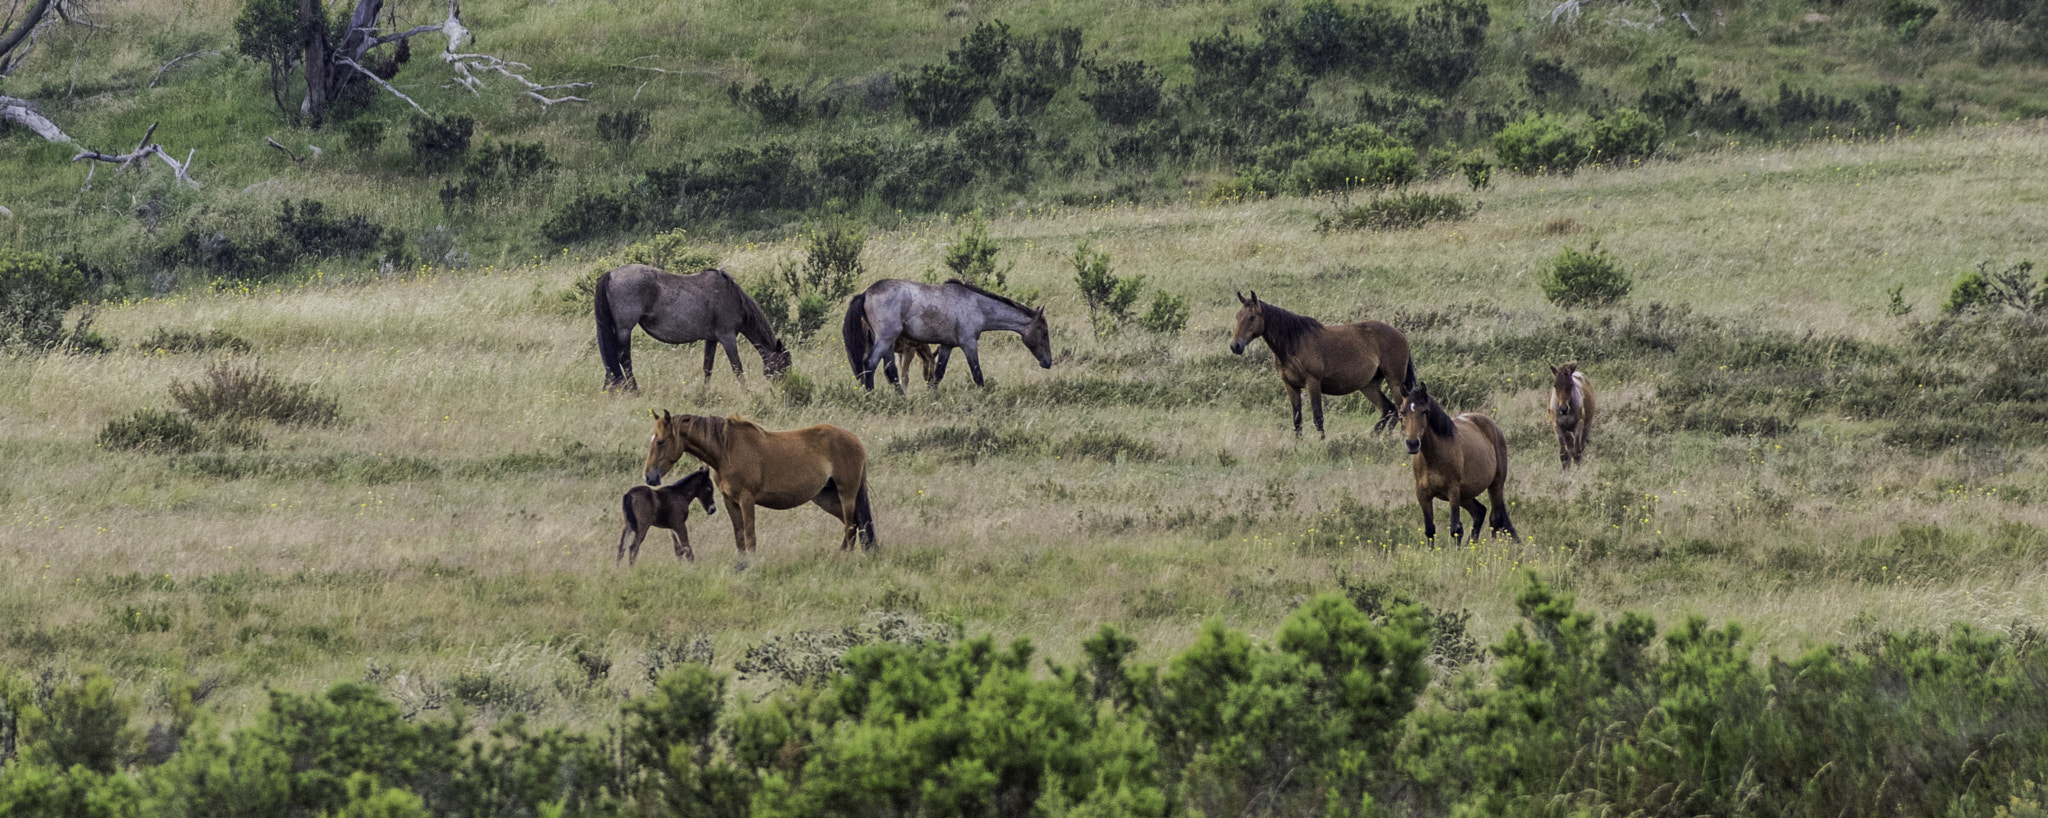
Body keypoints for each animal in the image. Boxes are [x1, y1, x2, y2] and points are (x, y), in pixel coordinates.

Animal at [593, 266, 790, 393]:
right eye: (784, 365)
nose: (783, 389)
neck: (732, 298)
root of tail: (610, 274)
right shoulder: (727, 337)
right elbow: (737, 367)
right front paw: (746, 392)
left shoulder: (712, 339)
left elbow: (707, 367)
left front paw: (705, 392)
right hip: (624, 329)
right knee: (624, 359)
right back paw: (633, 390)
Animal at [643, 414, 876, 553]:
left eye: (661, 441)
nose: (649, 477)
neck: (726, 451)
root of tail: (856, 440)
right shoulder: (730, 502)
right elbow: (739, 538)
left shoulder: (746, 500)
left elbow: (750, 537)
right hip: (826, 497)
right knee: (855, 524)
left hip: (846, 494)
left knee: (851, 526)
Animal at [839, 278, 1056, 391]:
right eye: (1045, 332)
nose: (1048, 362)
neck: (976, 306)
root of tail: (865, 293)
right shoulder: (969, 343)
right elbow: (978, 375)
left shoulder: (947, 345)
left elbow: (938, 375)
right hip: (885, 340)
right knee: (870, 365)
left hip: (883, 343)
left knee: (890, 371)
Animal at [1220, 291, 1417, 438]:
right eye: (1238, 316)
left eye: (1252, 317)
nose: (1235, 346)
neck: (1293, 343)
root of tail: (1401, 335)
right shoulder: (1290, 386)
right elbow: (1297, 420)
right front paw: (1297, 447)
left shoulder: (1312, 383)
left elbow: (1318, 417)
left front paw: (1322, 444)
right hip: (1368, 385)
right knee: (1388, 409)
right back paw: (1377, 439)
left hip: (1394, 382)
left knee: (1400, 410)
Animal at [1392, 381, 1523, 549]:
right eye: (1402, 412)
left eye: (1424, 412)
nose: (1413, 444)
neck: (1432, 458)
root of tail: (1492, 427)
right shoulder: (1422, 494)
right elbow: (1430, 529)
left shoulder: (1452, 491)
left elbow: (1455, 528)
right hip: (1465, 494)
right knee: (1480, 512)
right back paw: (1471, 546)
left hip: (1495, 485)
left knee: (1495, 518)